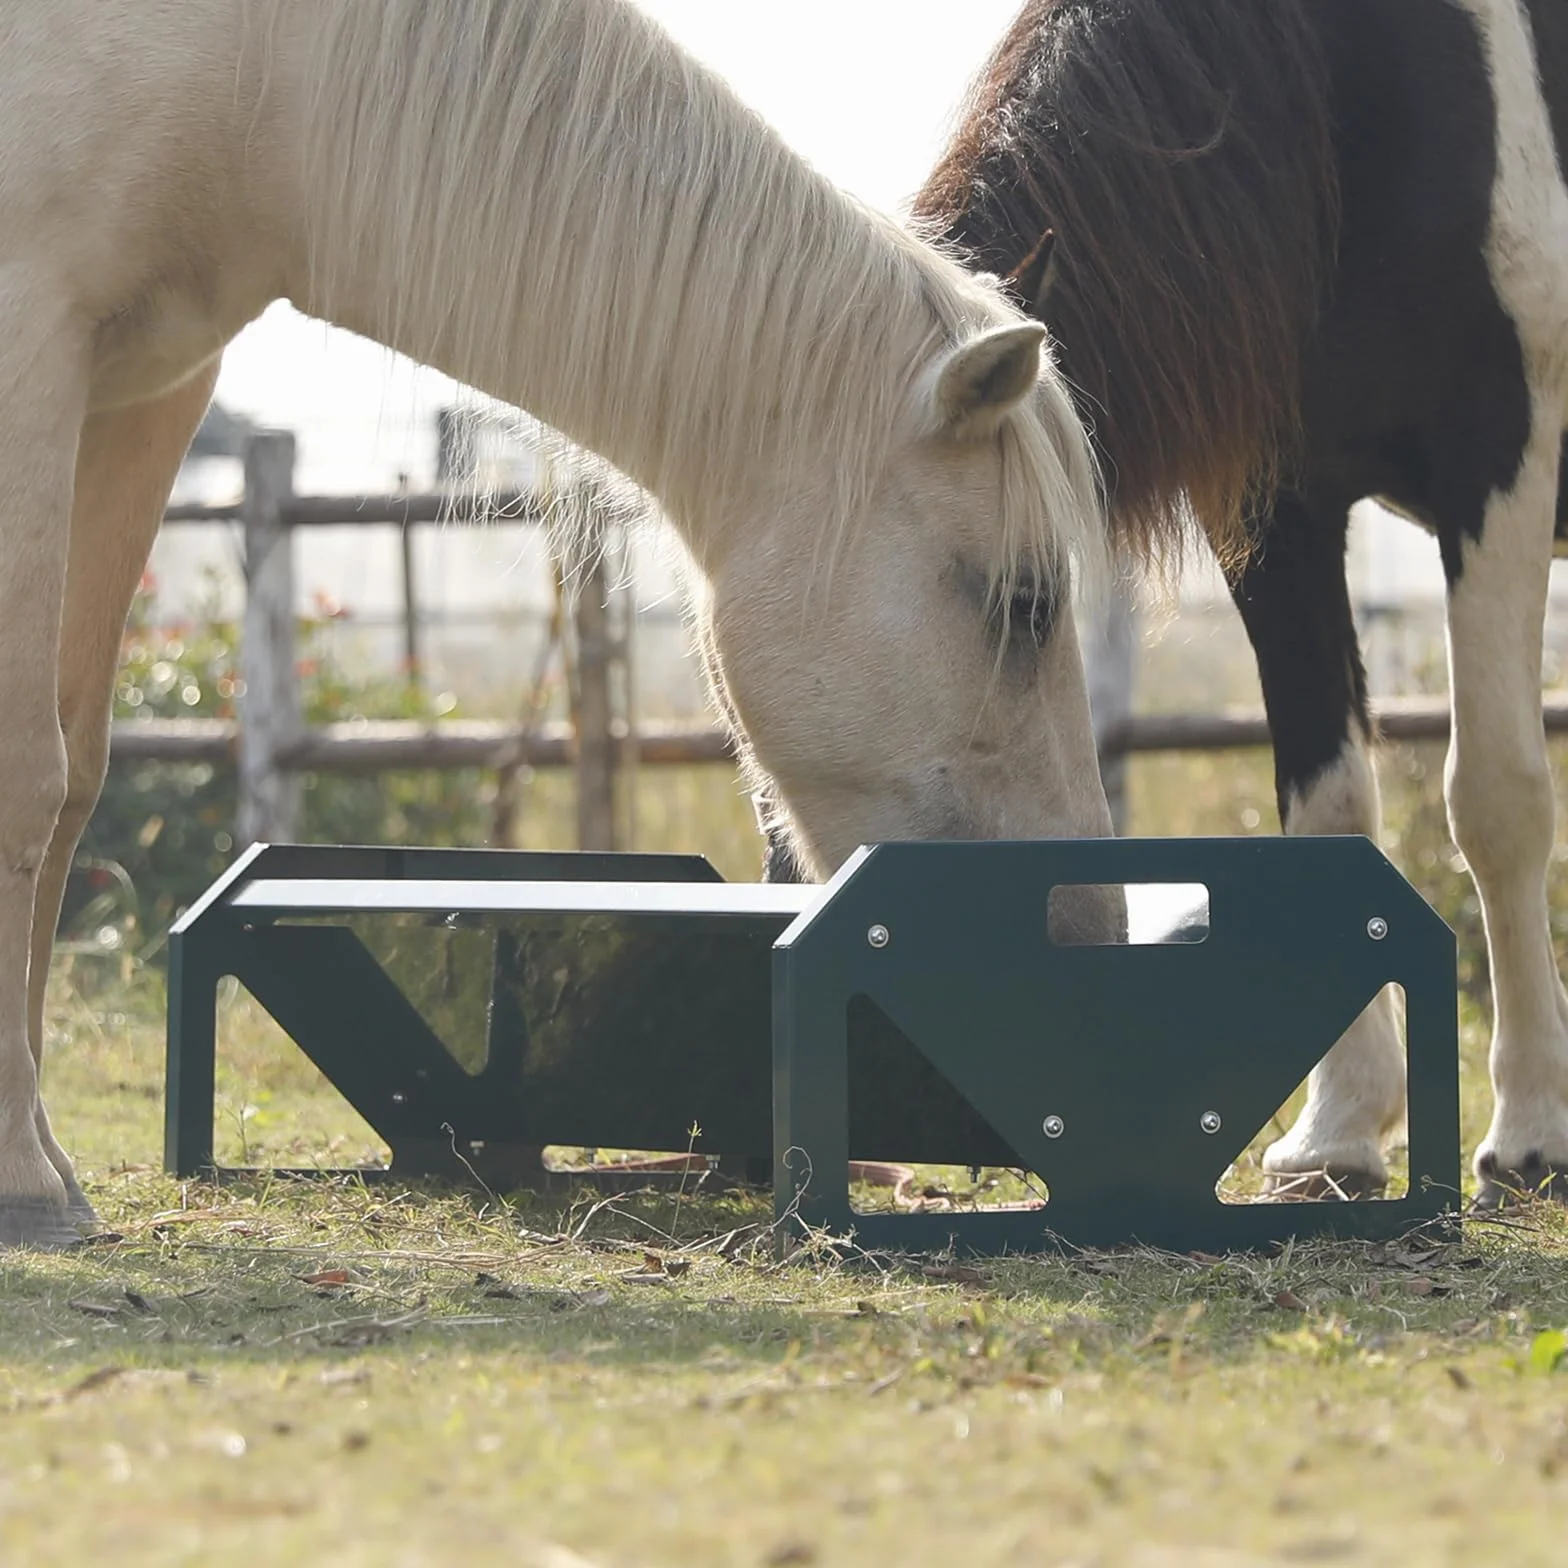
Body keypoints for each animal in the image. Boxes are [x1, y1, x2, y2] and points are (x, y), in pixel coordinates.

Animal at [0, 0, 1118, 1249]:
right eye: (1024, 600)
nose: (1082, 928)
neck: (255, 67)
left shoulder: (145, 390)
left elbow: (74, 774)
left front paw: (41, 1154)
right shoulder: (31, 336)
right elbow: (25, 771)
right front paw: (22, 1175)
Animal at [909, 0, 1568, 1205]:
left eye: (1017, 595)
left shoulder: (1497, 459)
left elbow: (1496, 799)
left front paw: (1534, 1127)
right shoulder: (1274, 507)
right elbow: (1327, 811)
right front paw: (1339, 1132)